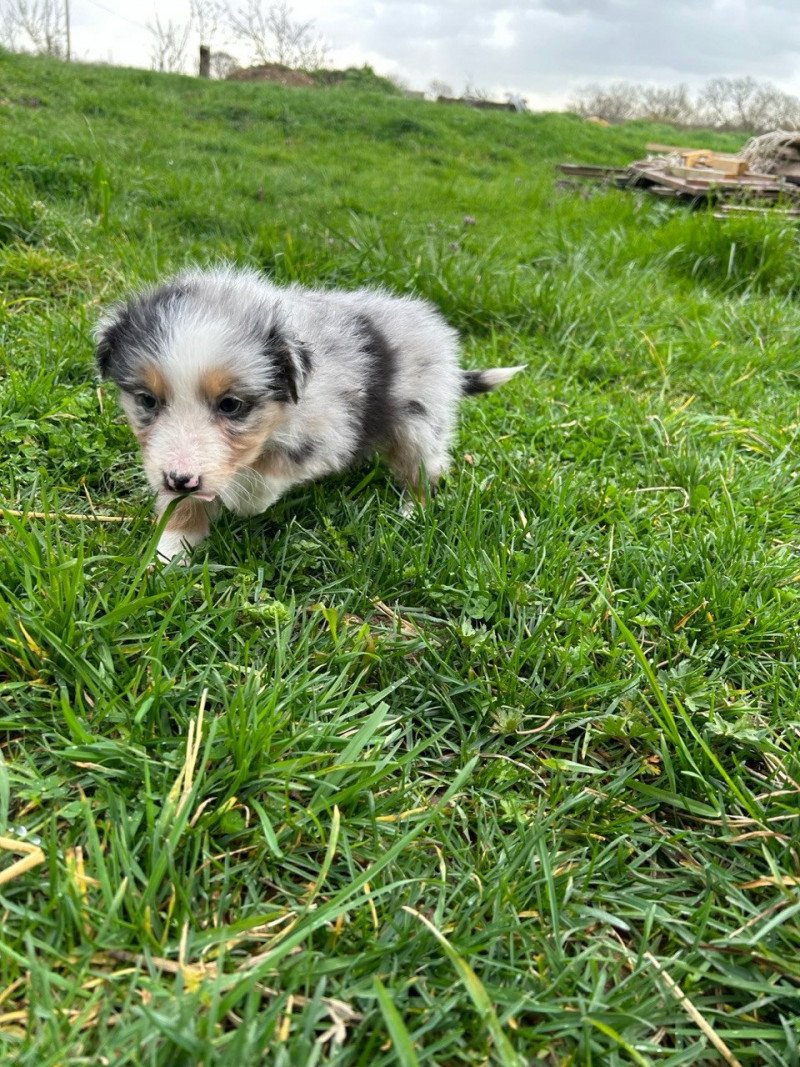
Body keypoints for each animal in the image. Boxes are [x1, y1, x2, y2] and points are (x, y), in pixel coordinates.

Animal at [95, 264, 526, 559]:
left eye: (231, 405)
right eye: (147, 401)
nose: (179, 479)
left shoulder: (331, 429)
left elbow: (272, 470)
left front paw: (245, 501)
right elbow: (181, 505)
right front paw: (169, 552)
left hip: (419, 423)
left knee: (425, 468)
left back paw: (411, 512)